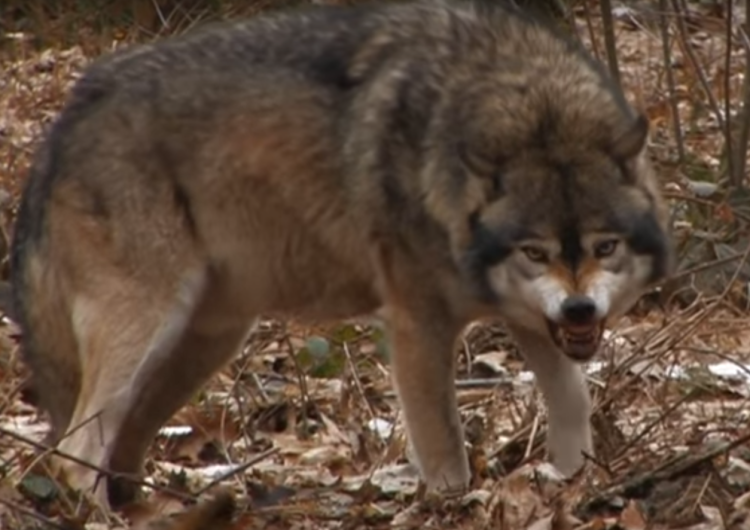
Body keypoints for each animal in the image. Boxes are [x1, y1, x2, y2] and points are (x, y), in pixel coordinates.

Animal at [8, 0, 672, 506]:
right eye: (535, 252)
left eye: (604, 247)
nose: (581, 311)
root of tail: (69, 114)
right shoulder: (415, 326)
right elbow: (444, 450)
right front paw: (454, 505)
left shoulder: (530, 321)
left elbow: (573, 405)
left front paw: (576, 483)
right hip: (148, 327)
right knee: (73, 451)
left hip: (206, 343)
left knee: (116, 441)